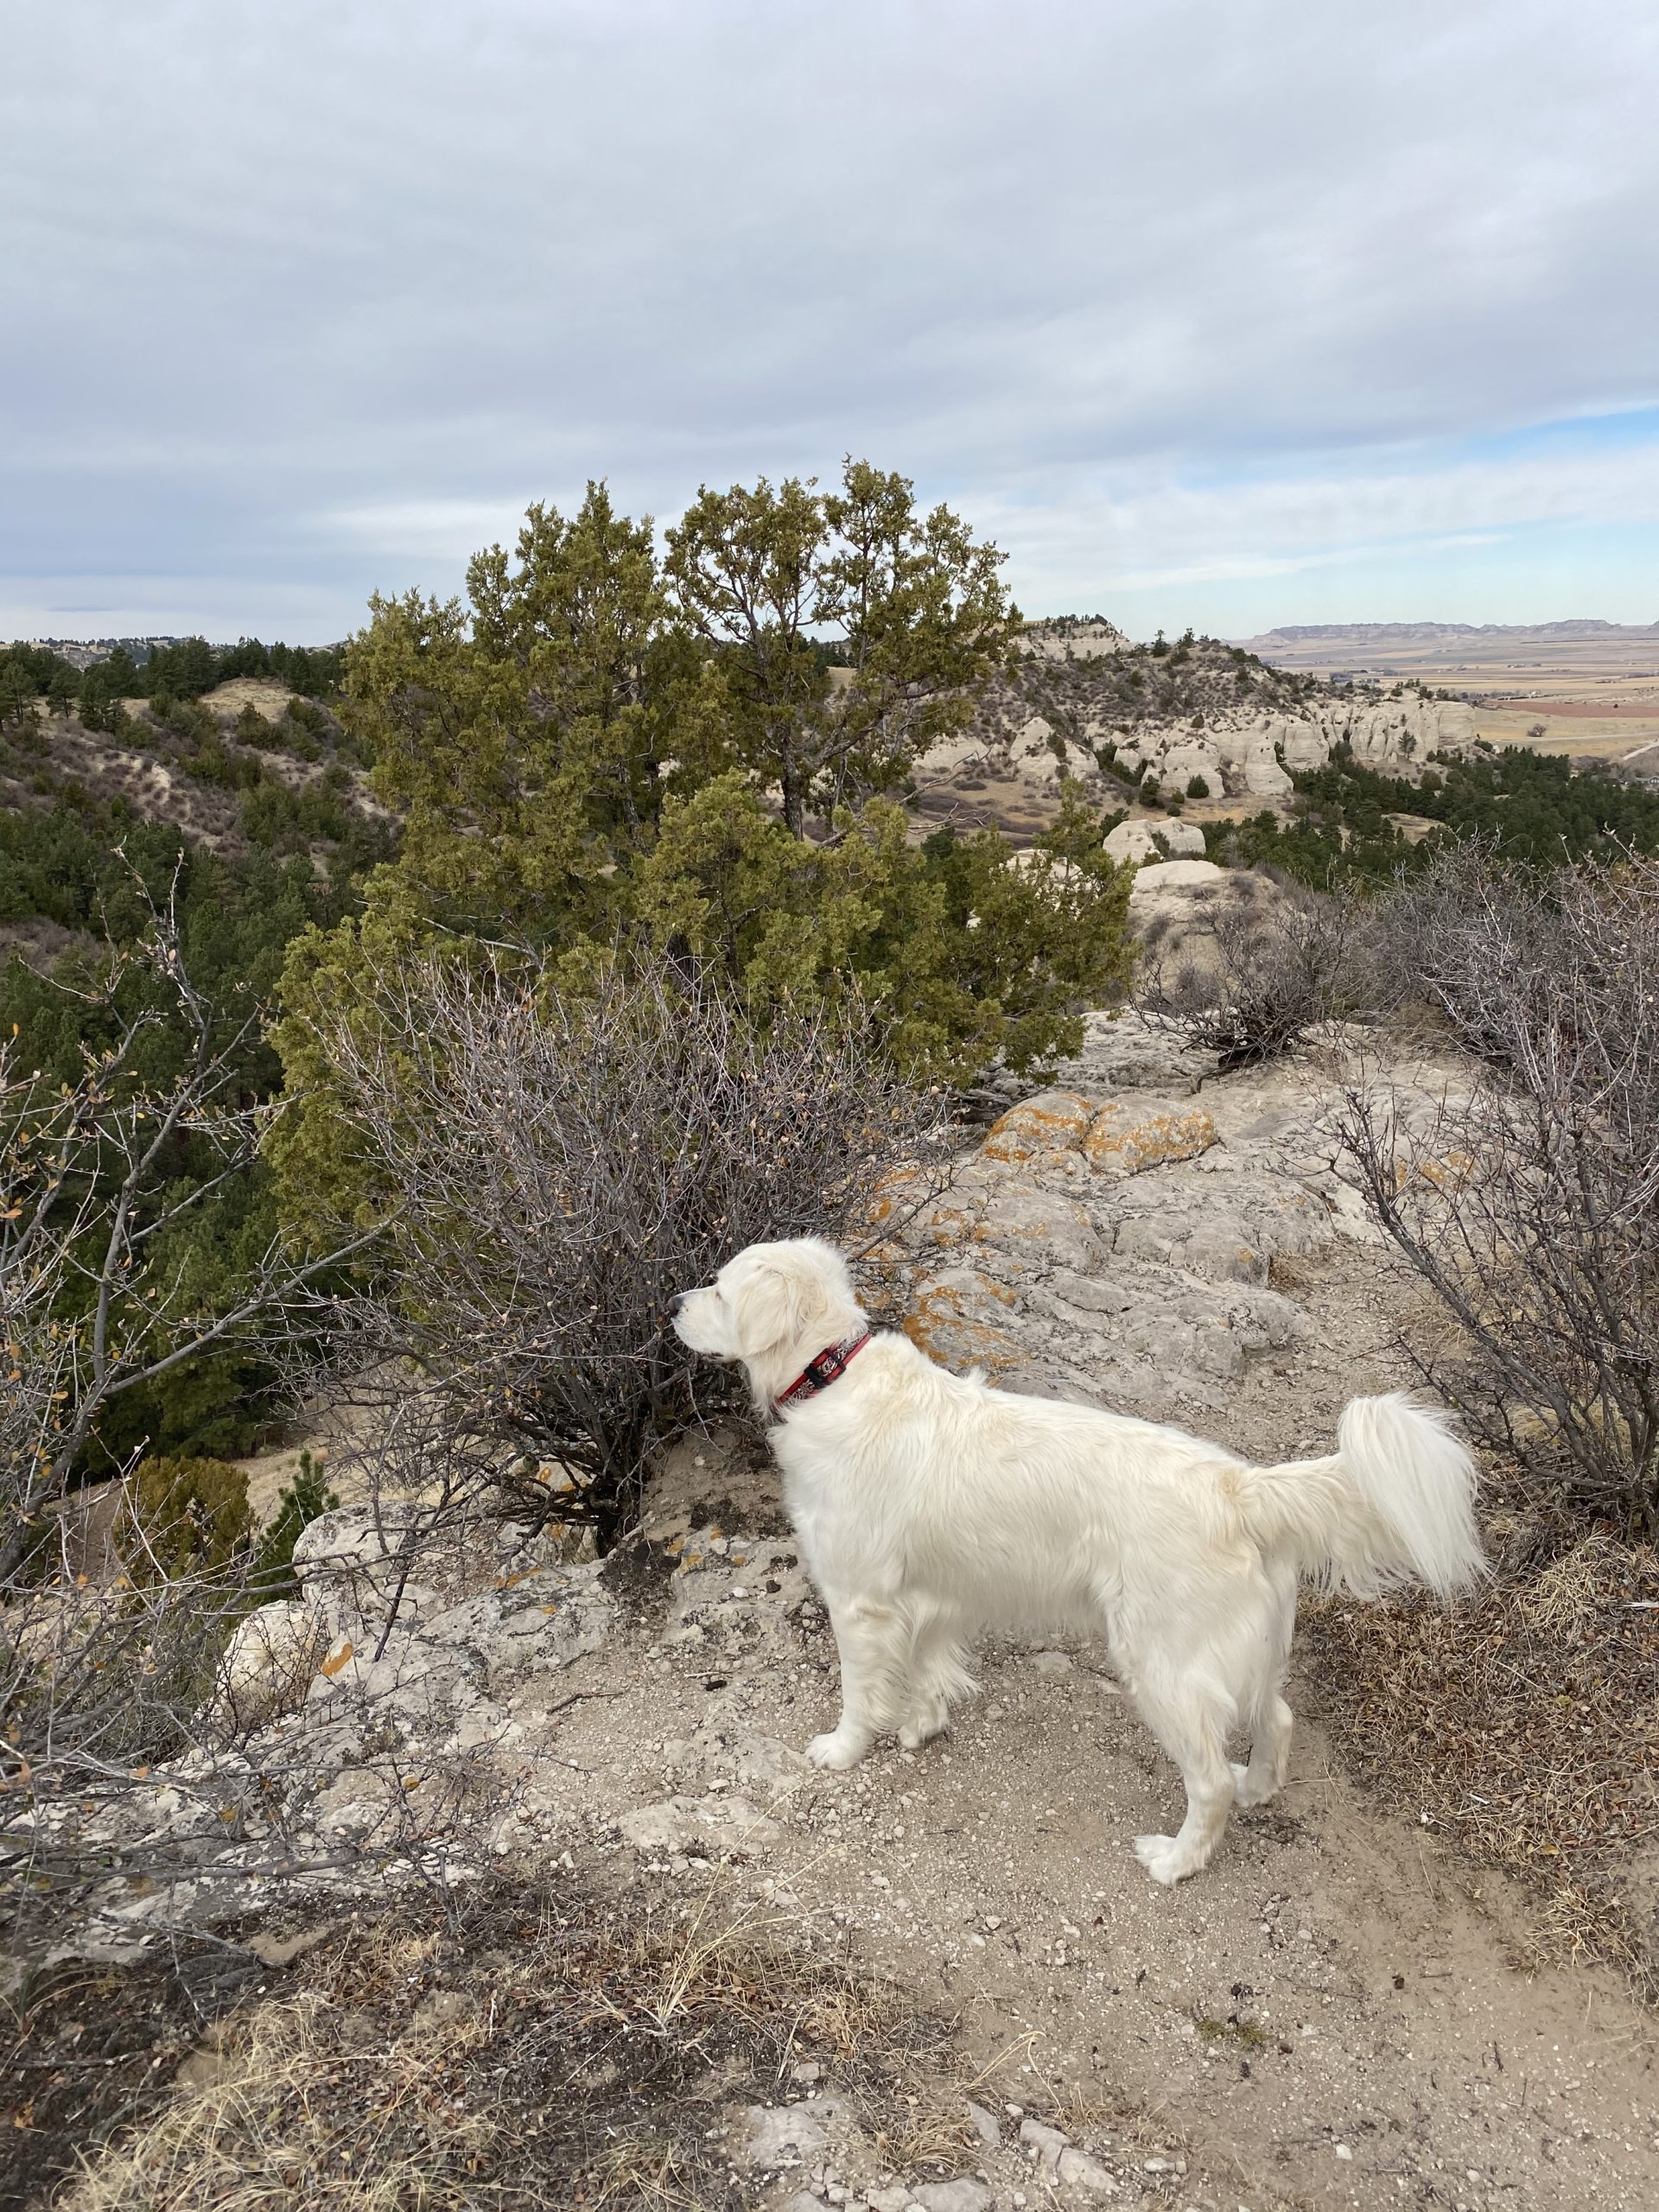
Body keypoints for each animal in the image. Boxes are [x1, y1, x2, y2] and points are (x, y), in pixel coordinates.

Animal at [671, 1235, 1485, 1884]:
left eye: (720, 1288)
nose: (673, 1302)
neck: (831, 1375)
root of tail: (1241, 1487)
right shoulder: (933, 1596)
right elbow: (929, 1670)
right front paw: (922, 1727)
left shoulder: (858, 1600)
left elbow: (860, 1693)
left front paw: (843, 1749)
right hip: (1249, 1648)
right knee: (1277, 1721)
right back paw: (1259, 1789)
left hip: (1161, 1664)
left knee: (1209, 1782)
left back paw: (1176, 1861)